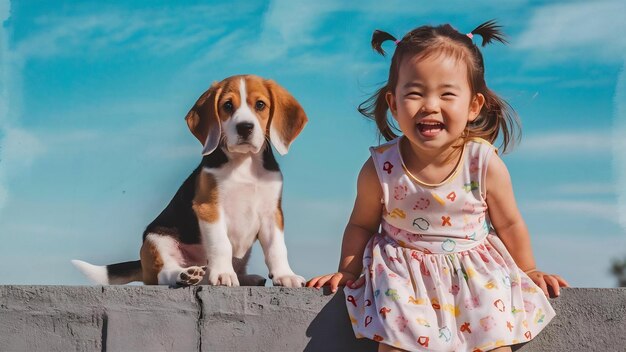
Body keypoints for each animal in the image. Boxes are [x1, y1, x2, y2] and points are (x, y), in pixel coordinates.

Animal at [72, 74, 306, 286]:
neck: (244, 163)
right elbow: (221, 244)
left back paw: (245, 278)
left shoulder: (272, 213)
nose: (245, 127)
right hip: (157, 240)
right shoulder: (209, 208)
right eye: (228, 106)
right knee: (164, 274)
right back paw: (187, 275)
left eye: (260, 105)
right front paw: (223, 274)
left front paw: (285, 275)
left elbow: (277, 248)